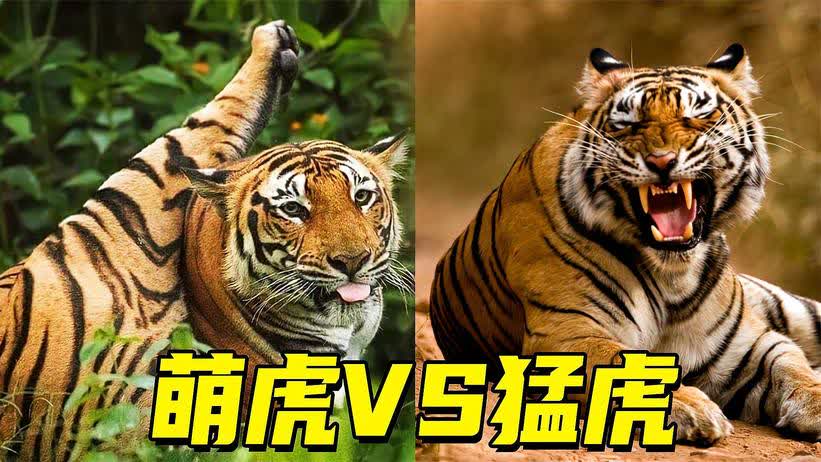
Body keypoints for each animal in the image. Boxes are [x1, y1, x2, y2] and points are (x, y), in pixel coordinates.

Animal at [429, 43, 821, 445]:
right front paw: (696, 409)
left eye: (697, 115)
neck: (673, 273)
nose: (661, 161)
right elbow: (627, 365)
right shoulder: (567, 333)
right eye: (628, 123)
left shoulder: (748, 345)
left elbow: (791, 366)